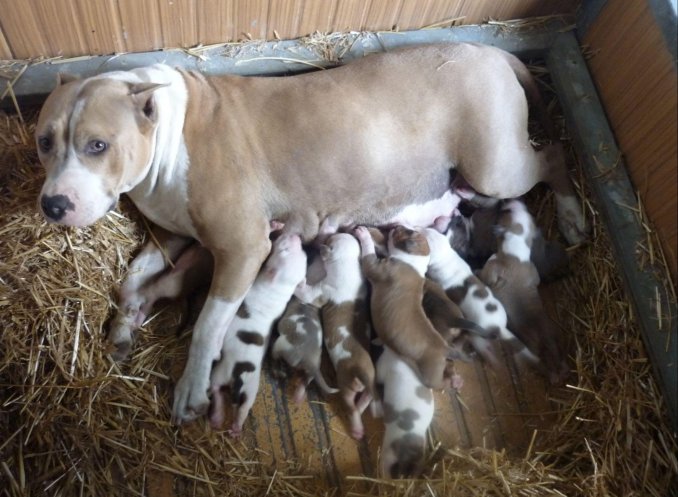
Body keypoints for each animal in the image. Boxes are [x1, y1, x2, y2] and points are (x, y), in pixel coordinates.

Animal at [210, 234, 308, 436]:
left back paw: (224, 422)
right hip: (239, 384)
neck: (279, 287)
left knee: (221, 393)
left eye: (283, 250)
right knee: (237, 404)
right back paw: (226, 424)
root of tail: (238, 377)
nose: (295, 236)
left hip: (234, 378)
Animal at [294, 232, 374, 438]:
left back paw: (357, 429)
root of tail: (361, 372)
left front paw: (299, 281)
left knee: (351, 406)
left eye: (331, 239)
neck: (347, 263)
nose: (329, 233)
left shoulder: (321, 291)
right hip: (369, 383)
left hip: (345, 385)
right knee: (366, 399)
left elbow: (307, 293)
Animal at [478, 200, 572, 386]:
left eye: (505, 212)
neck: (517, 247)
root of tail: (548, 341)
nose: (512, 200)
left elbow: (486, 273)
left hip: (531, 347)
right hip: (559, 338)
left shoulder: (492, 266)